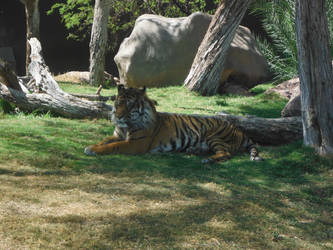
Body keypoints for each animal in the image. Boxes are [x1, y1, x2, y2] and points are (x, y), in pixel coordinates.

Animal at [83, 84, 262, 164]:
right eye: (119, 103)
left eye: (130, 105)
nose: (118, 116)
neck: (125, 126)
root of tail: (239, 130)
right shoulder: (116, 135)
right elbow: (105, 141)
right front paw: (91, 146)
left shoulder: (136, 143)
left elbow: (112, 146)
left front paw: (93, 150)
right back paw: (194, 150)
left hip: (215, 135)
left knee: (226, 153)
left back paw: (207, 159)